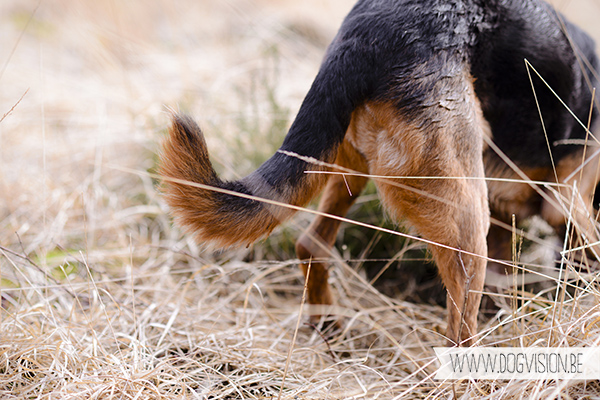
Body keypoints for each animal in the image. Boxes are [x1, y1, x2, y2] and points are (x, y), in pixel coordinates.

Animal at [157, 0, 596, 346]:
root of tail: (362, 38)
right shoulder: (571, 202)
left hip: (348, 167)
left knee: (311, 245)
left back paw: (327, 327)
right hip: (468, 222)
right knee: (458, 330)